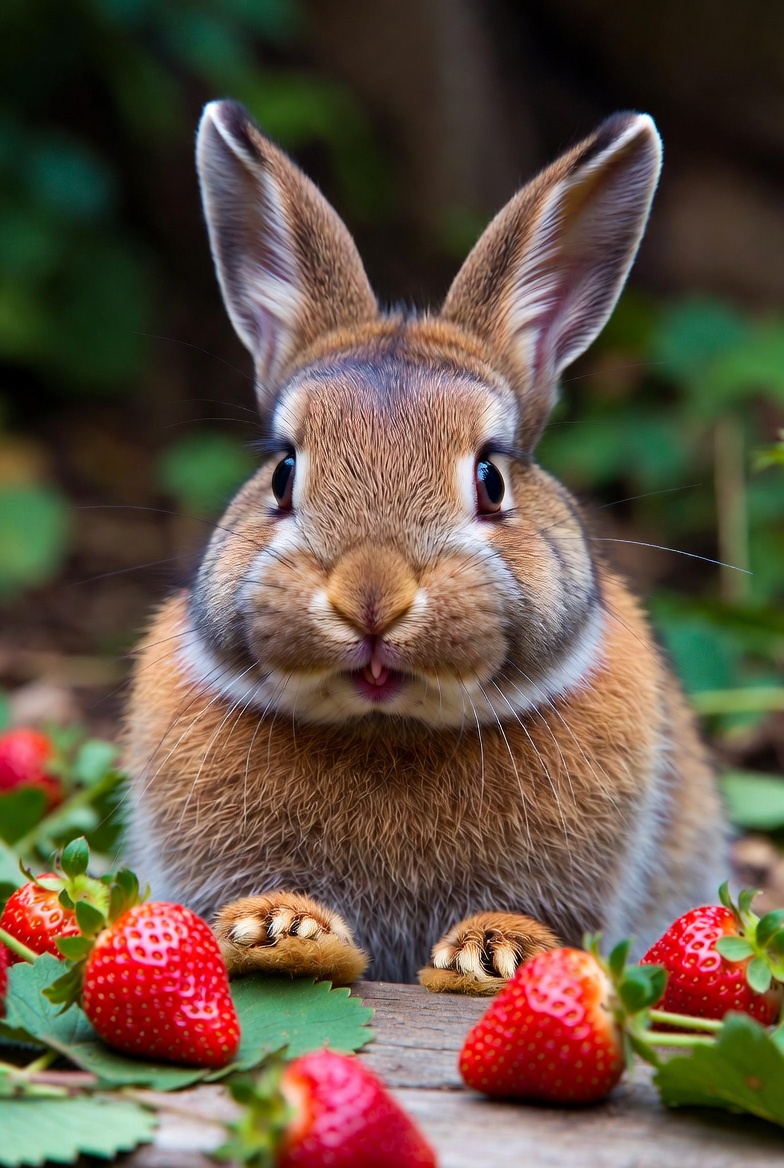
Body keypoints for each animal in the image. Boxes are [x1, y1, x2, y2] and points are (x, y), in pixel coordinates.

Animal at [122, 100, 726, 993]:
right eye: (283, 472)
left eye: (491, 479)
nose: (370, 597)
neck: (391, 728)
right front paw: (282, 928)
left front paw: (495, 950)